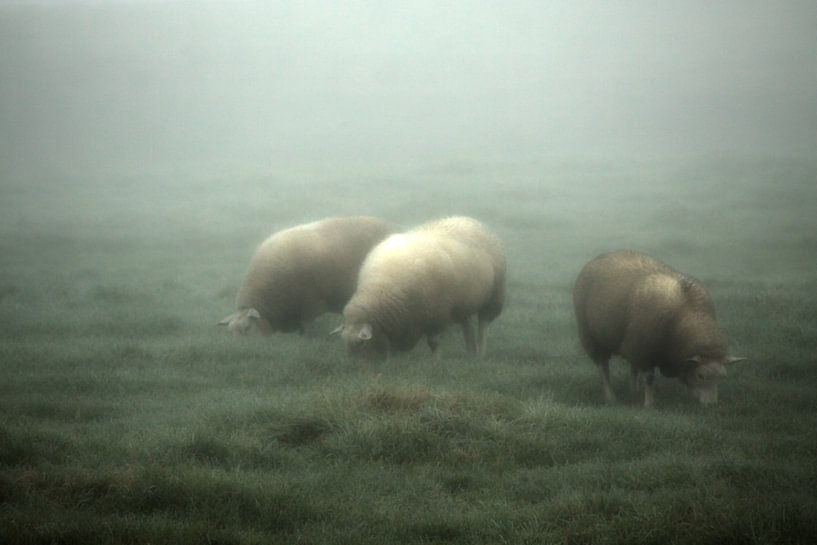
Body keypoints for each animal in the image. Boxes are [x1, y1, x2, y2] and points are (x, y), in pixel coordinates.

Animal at [335, 216, 506, 360]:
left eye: (360, 343)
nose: (355, 365)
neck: (382, 286)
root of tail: (467, 219)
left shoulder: (438, 315)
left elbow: (434, 342)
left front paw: (436, 362)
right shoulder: (401, 321)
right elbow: (392, 343)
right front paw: (392, 361)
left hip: (494, 295)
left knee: (483, 325)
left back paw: (480, 354)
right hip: (464, 302)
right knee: (468, 326)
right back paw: (471, 353)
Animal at [573, 250, 745, 406]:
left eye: (722, 377)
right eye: (700, 376)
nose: (711, 405)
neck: (690, 315)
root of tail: (600, 257)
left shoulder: (641, 348)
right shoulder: (644, 351)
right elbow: (649, 378)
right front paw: (649, 404)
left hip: (630, 341)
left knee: (632, 367)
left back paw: (634, 391)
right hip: (592, 338)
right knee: (603, 369)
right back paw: (611, 398)